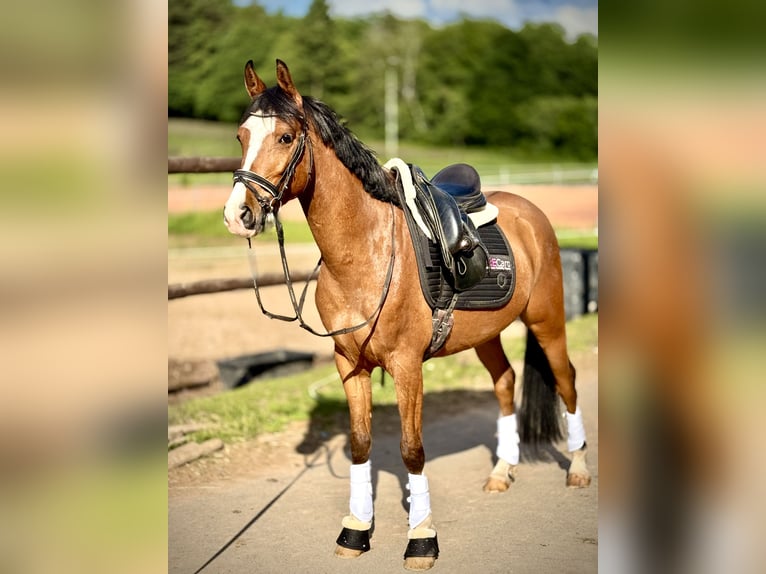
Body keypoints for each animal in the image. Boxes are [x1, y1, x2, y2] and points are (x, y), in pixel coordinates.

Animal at [223, 59, 591, 571]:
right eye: (241, 135)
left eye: (284, 137)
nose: (237, 215)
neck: (366, 253)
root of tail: (530, 211)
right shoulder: (349, 363)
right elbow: (361, 444)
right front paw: (356, 530)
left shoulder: (406, 365)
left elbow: (412, 450)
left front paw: (421, 538)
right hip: (487, 335)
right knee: (505, 383)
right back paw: (502, 471)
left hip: (548, 319)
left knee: (566, 379)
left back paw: (578, 468)